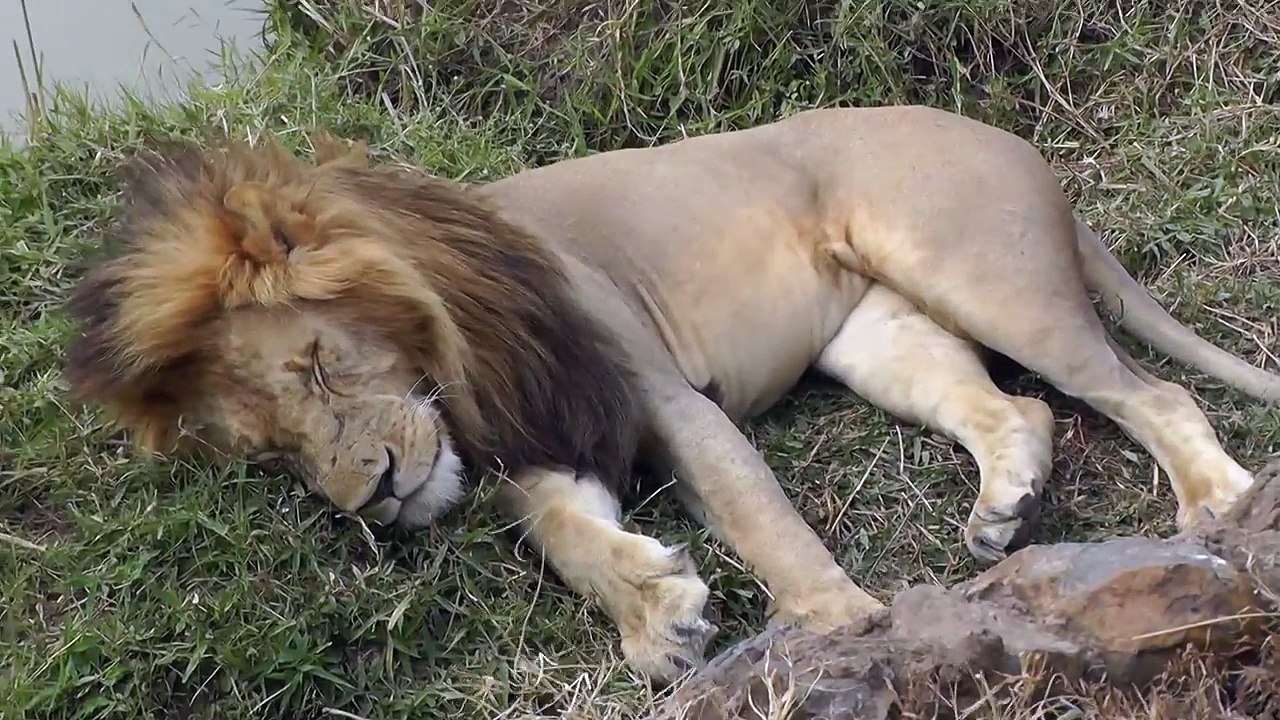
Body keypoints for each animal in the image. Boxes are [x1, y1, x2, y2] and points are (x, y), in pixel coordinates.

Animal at [64, 105, 1279, 683]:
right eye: (276, 453)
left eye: (318, 360)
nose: (372, 496)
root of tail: (1008, 138)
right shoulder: (539, 447)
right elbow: (570, 539)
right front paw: (658, 614)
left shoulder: (654, 390)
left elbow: (751, 509)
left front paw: (836, 624)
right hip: (873, 333)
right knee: (1017, 411)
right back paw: (1003, 509)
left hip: (978, 272)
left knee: (1151, 398)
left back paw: (1212, 504)